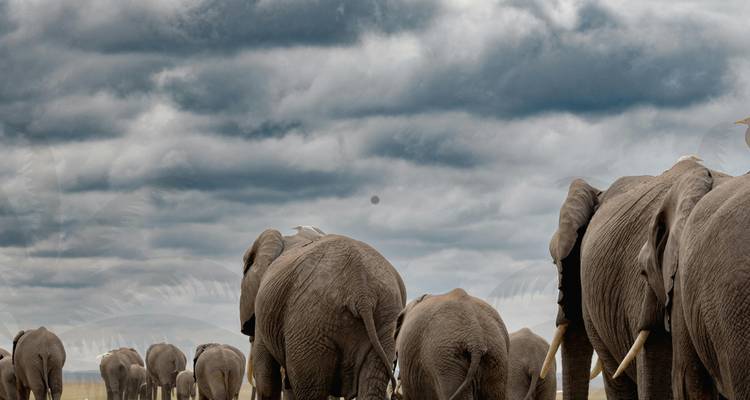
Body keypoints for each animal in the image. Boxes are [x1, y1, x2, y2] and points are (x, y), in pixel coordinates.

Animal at [239, 227, 406, 400]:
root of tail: (362, 291)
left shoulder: (264, 310)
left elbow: (266, 377)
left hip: (309, 325)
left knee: (310, 388)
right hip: (385, 316)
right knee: (372, 383)